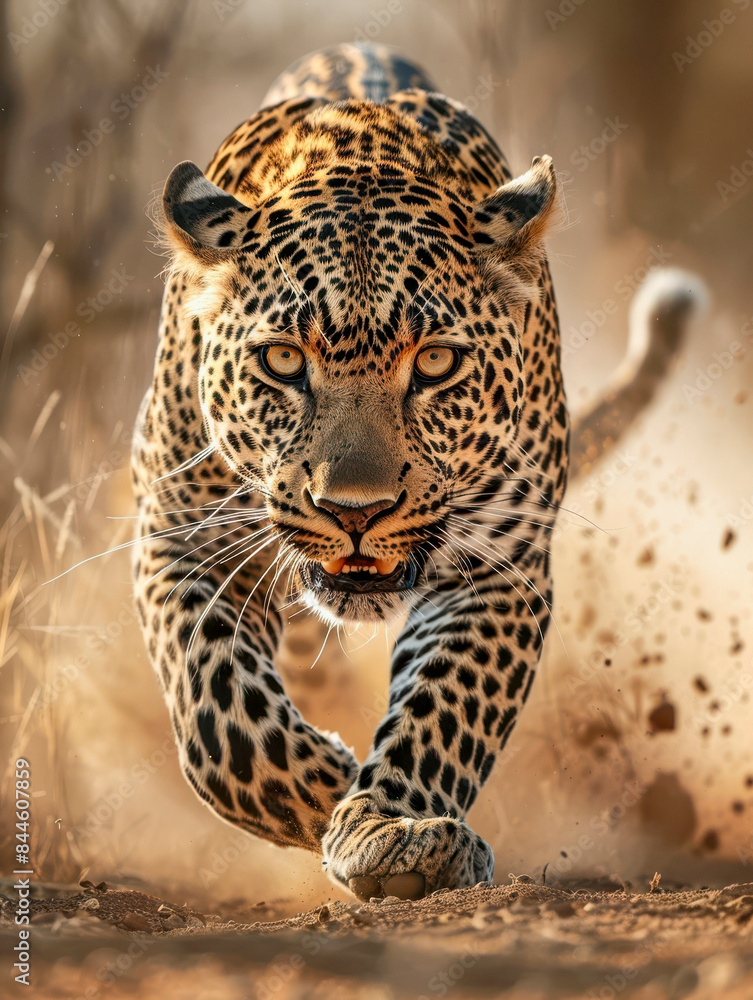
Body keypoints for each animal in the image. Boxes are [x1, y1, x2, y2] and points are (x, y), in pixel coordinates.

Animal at [131, 42, 701, 902]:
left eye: (434, 363)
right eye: (282, 360)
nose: (354, 510)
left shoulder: (499, 567)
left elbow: (444, 709)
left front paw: (388, 829)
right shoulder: (184, 537)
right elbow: (215, 712)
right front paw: (323, 786)